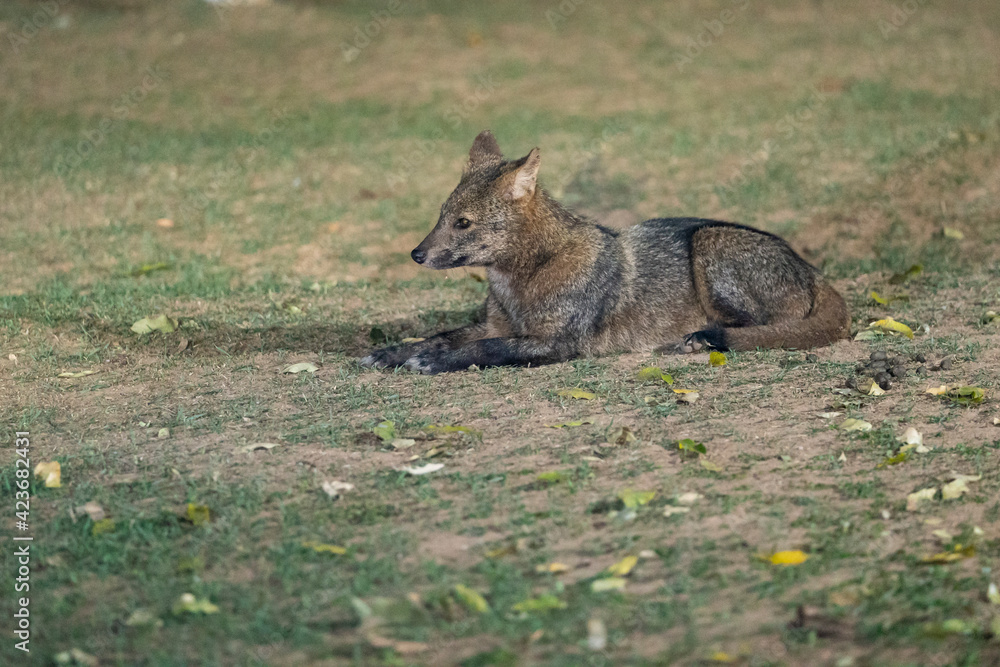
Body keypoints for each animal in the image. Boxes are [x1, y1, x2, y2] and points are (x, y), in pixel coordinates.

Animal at [361, 130, 850, 375]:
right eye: (441, 216)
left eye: (462, 223)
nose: (416, 254)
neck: (522, 281)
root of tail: (811, 268)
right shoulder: (494, 324)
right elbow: (443, 335)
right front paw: (394, 352)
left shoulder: (554, 343)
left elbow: (485, 350)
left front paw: (432, 361)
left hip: (710, 241)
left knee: (761, 329)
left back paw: (699, 340)